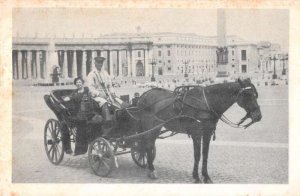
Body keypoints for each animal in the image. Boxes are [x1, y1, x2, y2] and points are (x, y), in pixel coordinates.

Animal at [120, 78, 262, 184]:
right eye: (247, 95)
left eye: (255, 94)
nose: (258, 116)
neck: (206, 103)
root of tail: (142, 96)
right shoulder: (196, 133)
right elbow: (197, 155)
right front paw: (196, 177)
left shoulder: (207, 133)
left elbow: (205, 155)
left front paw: (206, 176)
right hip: (150, 126)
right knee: (148, 145)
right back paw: (152, 170)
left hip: (156, 127)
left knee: (146, 146)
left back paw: (148, 167)